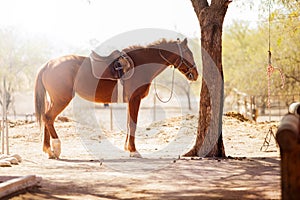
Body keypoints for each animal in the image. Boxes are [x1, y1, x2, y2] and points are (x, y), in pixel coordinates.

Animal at [34, 38, 198, 159]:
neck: (140, 65)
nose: (196, 74)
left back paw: (49, 150)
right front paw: (133, 151)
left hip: (53, 100)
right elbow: (132, 124)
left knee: (46, 118)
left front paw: (128, 148)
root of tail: (48, 64)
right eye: (188, 53)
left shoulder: (130, 101)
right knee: (49, 117)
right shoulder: (135, 99)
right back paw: (56, 148)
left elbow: (128, 124)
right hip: (62, 99)